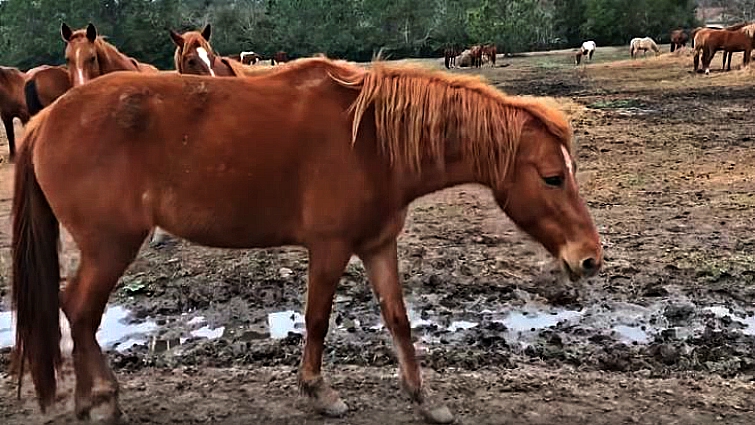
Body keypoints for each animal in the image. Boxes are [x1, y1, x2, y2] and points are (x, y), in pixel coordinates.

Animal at [10, 56, 602, 424]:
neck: (371, 142)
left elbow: (398, 320)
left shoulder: (377, 245)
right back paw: (103, 399)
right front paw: (320, 392)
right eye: (553, 177)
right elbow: (317, 318)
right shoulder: (330, 247)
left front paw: (423, 398)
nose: (590, 259)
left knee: (75, 310)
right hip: (110, 246)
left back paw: (88, 400)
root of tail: (46, 120)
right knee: (78, 308)